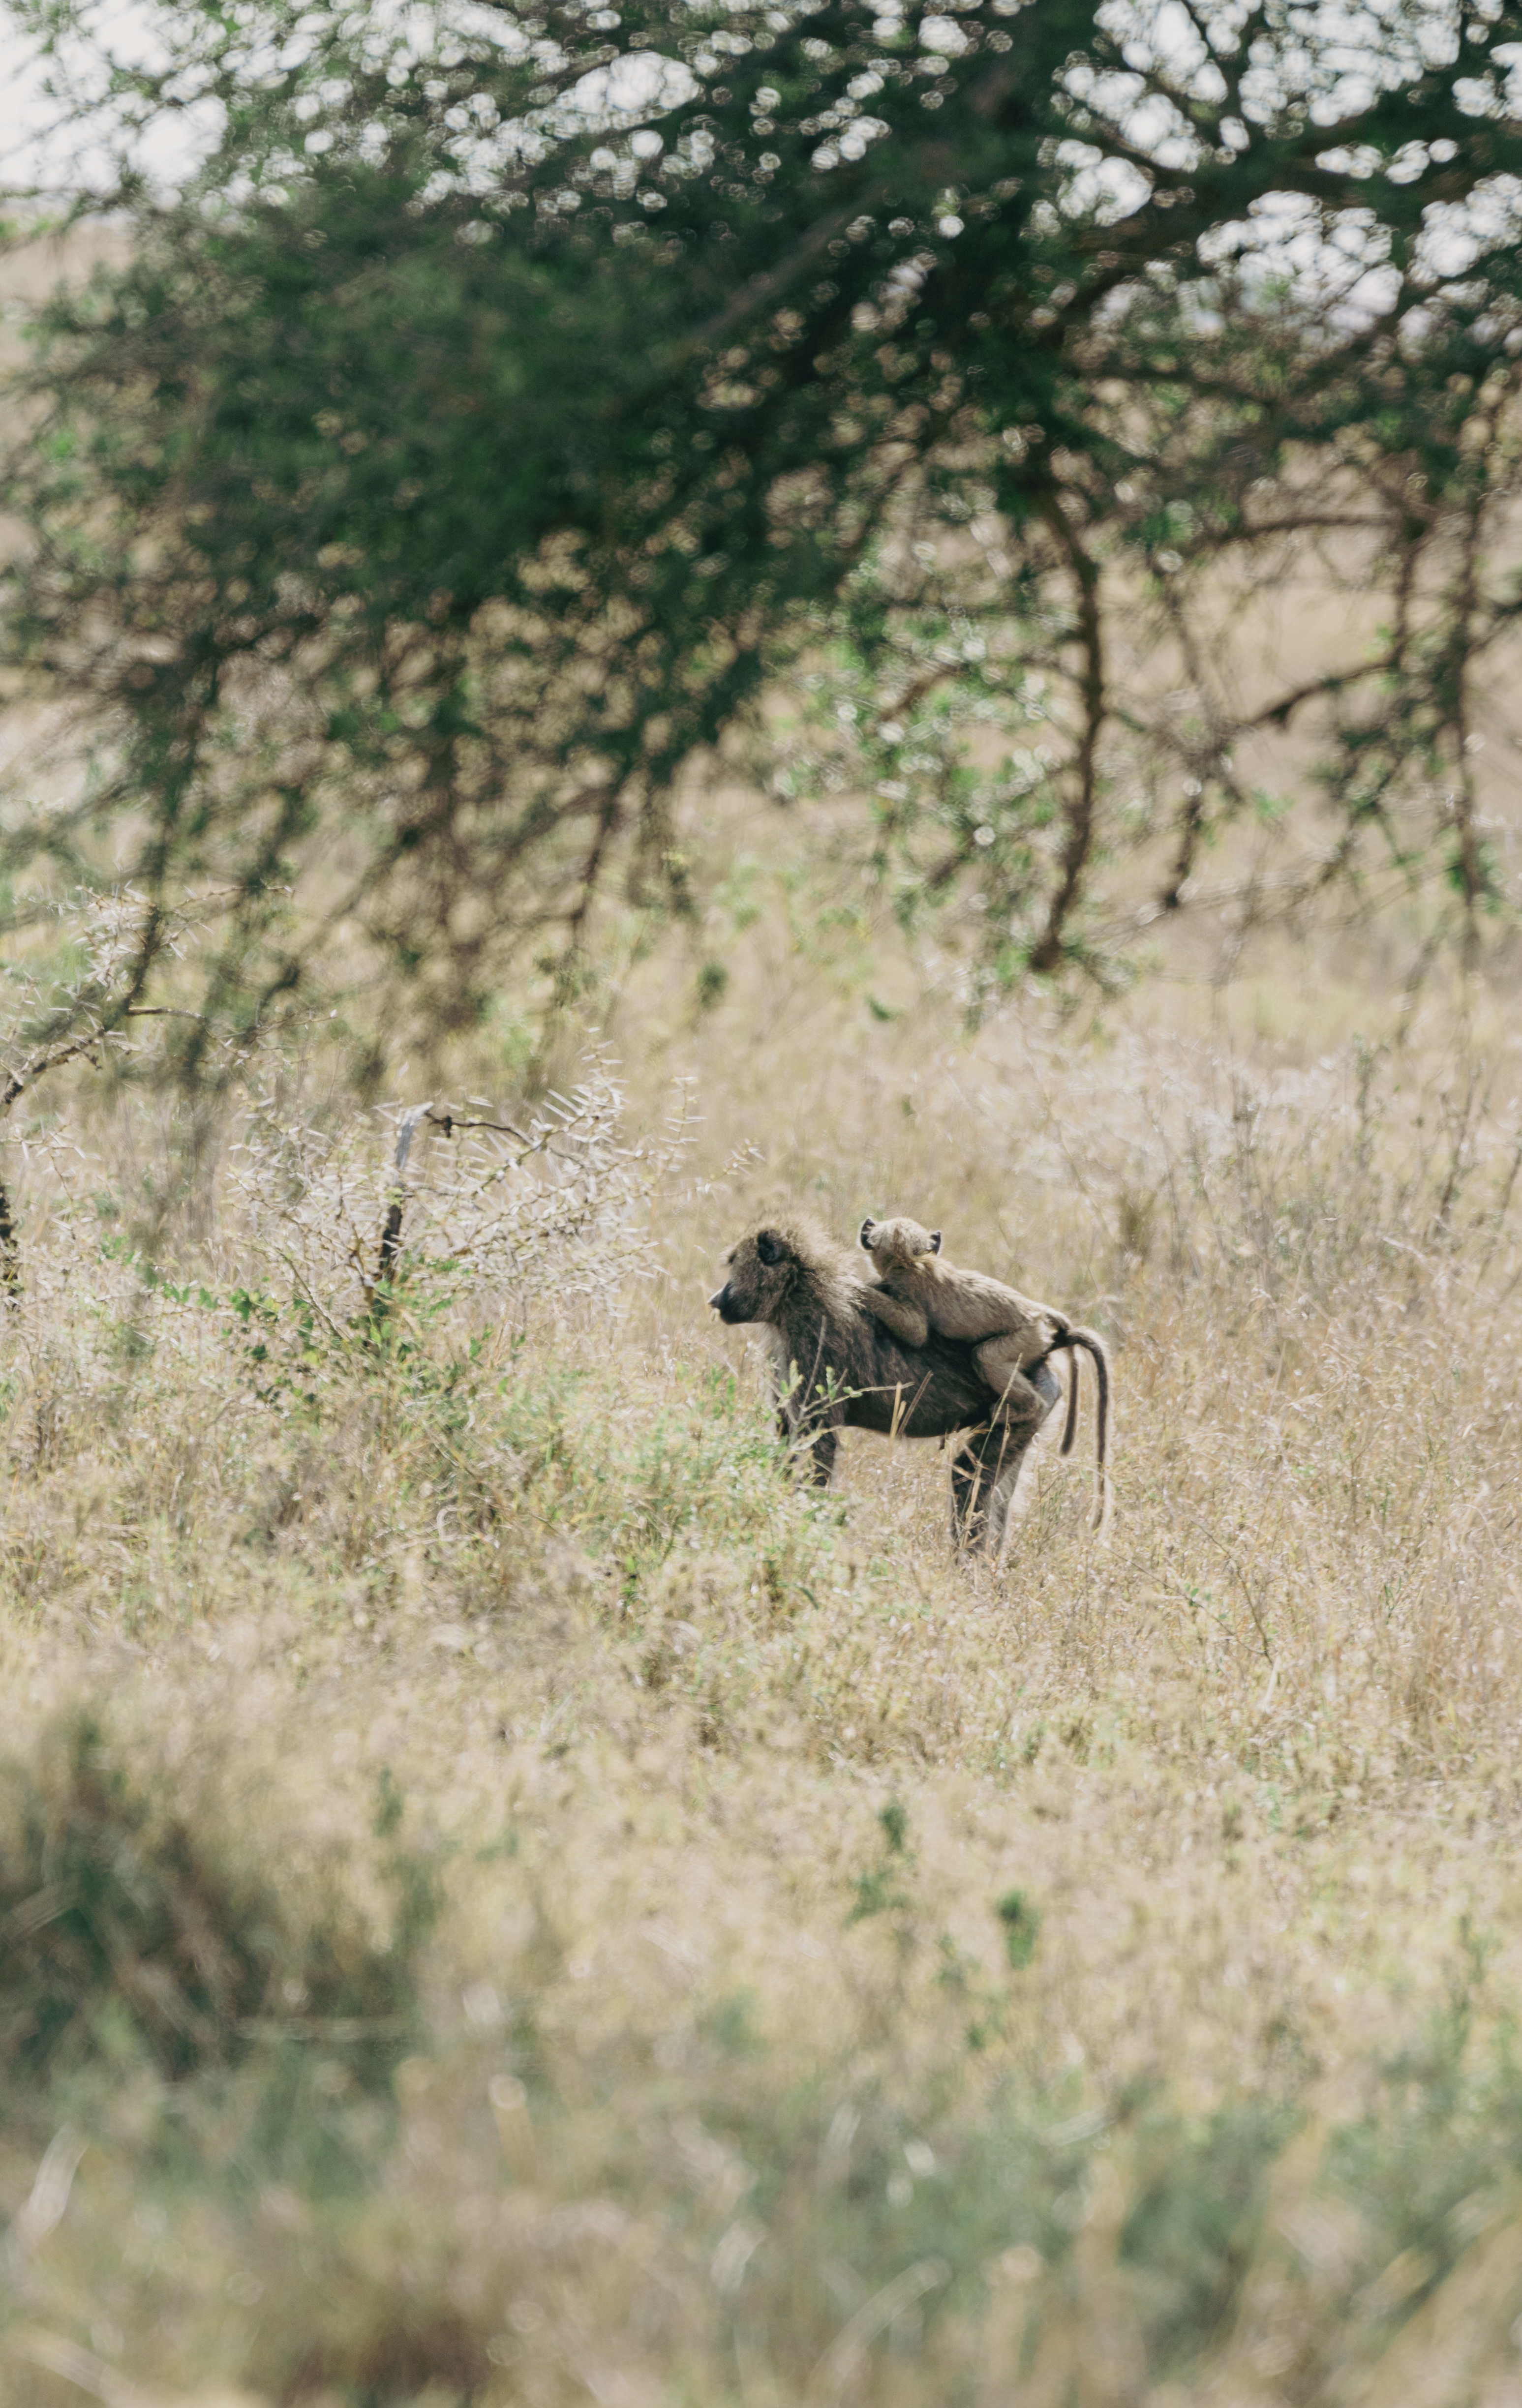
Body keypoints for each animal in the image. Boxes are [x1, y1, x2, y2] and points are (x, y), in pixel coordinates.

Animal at [708, 1214, 1067, 1557]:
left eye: (734, 1263)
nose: (714, 1300)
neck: (795, 1292)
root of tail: (1044, 1361)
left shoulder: (814, 1343)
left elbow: (820, 1445)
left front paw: (803, 1527)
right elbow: (787, 1440)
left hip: (1023, 1403)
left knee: (968, 1478)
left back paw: (967, 1572)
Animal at [857, 1215, 1112, 1535]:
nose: (868, 1222)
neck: (910, 1261)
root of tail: (1040, 1316)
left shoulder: (902, 1287)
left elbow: (916, 1332)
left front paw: (862, 1289)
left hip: (1026, 1338)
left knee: (986, 1357)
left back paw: (1021, 1409)